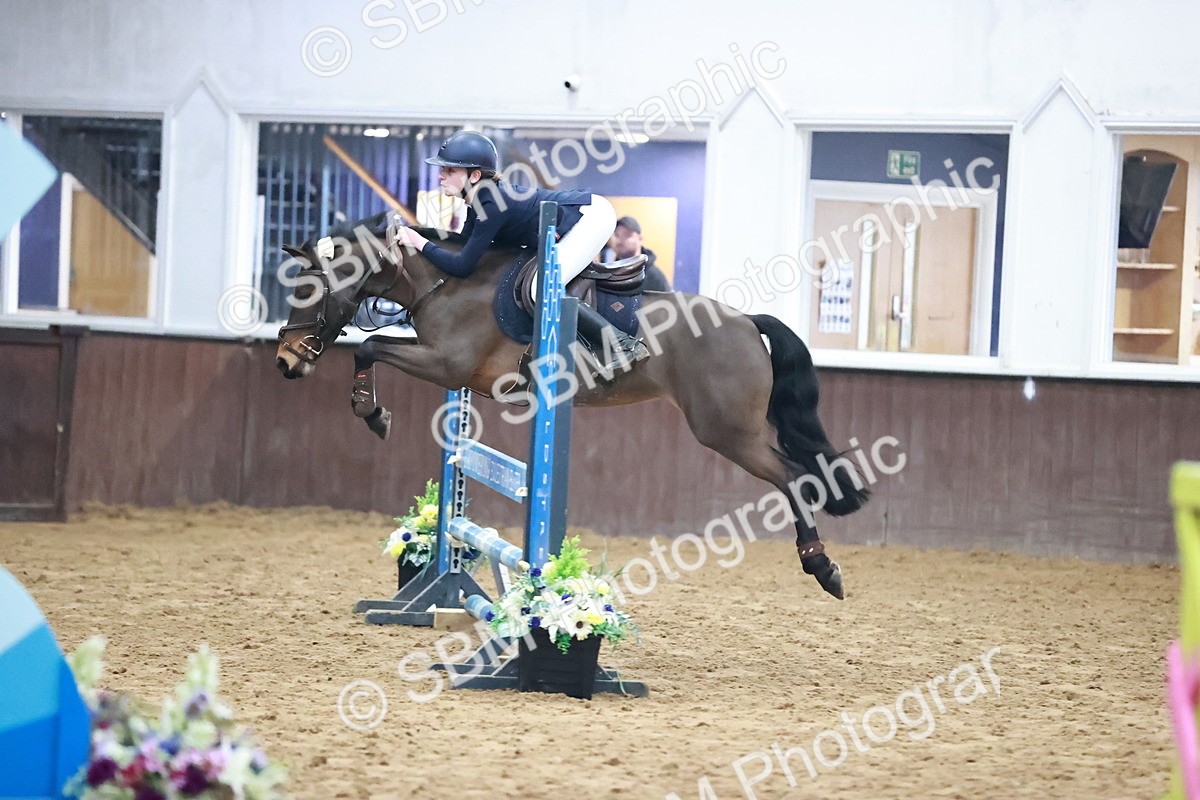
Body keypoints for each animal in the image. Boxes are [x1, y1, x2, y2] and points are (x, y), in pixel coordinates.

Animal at [275, 213, 869, 599]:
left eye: (306, 292)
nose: (284, 362)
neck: (443, 283)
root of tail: (747, 321)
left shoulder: (449, 366)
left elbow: (370, 345)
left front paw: (373, 414)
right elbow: (371, 347)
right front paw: (372, 411)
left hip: (726, 432)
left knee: (792, 476)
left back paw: (824, 569)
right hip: (745, 425)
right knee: (799, 466)